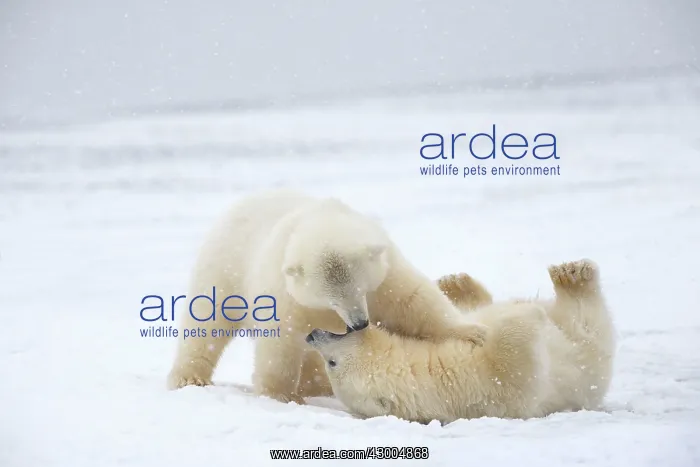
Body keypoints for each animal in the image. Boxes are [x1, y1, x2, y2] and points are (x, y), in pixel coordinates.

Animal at [166, 189, 489, 404]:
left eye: (360, 290)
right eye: (333, 300)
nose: (359, 323)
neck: (322, 219)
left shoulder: (386, 272)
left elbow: (413, 299)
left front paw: (472, 332)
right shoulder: (284, 290)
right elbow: (280, 340)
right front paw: (279, 394)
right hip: (225, 266)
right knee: (207, 321)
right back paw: (188, 377)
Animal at [305, 259, 617, 424]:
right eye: (331, 363)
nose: (312, 336)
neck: (426, 366)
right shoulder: (479, 386)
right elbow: (514, 366)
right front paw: (525, 315)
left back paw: (458, 284)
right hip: (588, 363)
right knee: (585, 323)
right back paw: (572, 277)